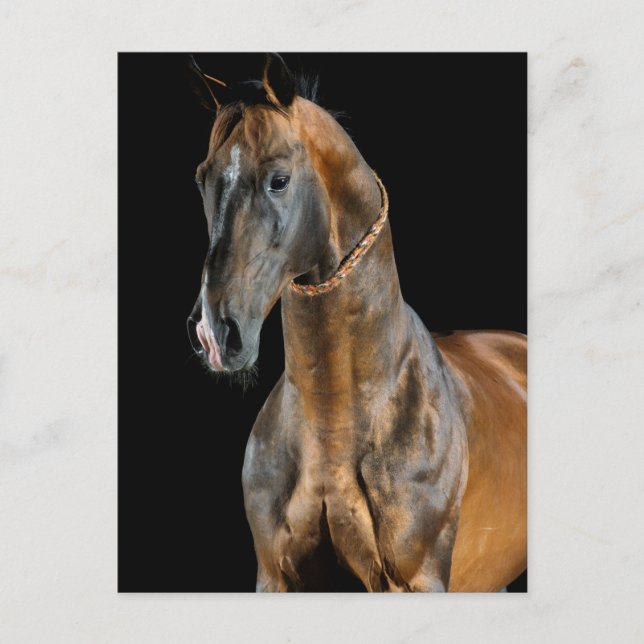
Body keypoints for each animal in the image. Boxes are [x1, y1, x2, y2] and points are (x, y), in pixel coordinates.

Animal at [186, 54, 527, 592]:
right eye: (202, 179)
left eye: (278, 179)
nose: (214, 334)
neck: (336, 425)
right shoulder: (275, 577)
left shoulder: (416, 579)